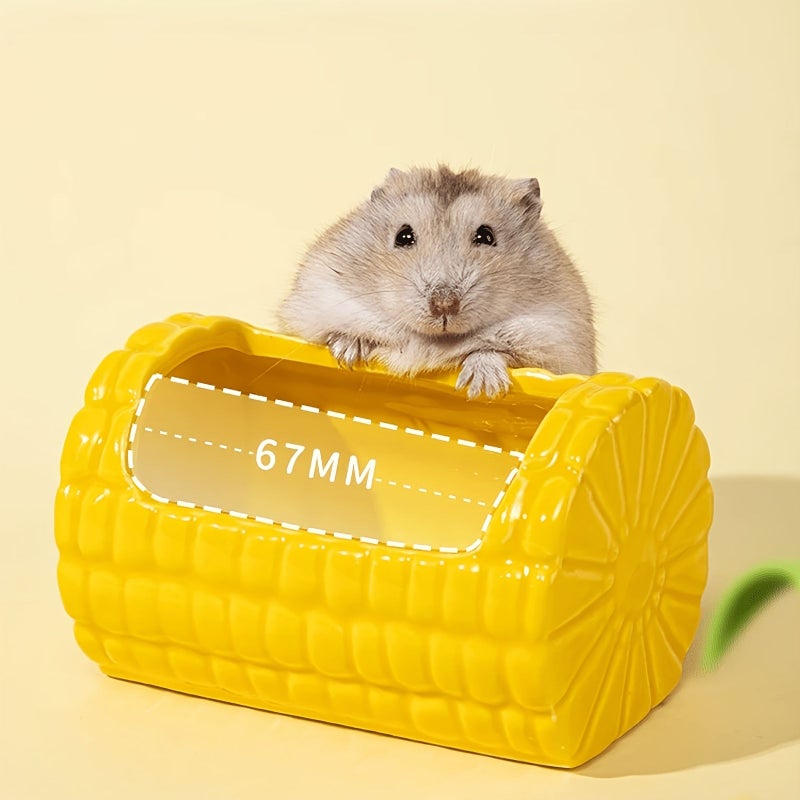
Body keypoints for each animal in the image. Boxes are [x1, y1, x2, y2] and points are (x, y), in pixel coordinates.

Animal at [278, 165, 597, 398]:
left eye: (487, 235)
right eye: (403, 236)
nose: (444, 305)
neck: (432, 341)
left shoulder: (559, 345)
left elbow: (493, 350)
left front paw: (482, 388)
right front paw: (348, 356)